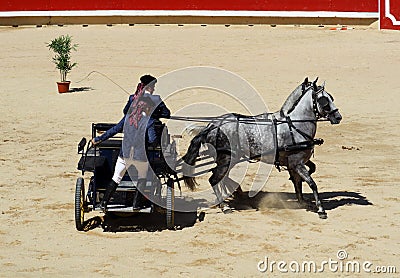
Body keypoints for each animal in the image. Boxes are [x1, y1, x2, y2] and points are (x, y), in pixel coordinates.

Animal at [181, 77, 340, 218]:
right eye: (324, 100)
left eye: (331, 97)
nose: (338, 117)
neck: (294, 125)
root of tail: (212, 125)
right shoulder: (297, 163)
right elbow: (311, 183)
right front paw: (321, 210)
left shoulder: (295, 163)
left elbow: (302, 178)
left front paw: (303, 201)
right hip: (227, 159)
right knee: (214, 179)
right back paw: (225, 206)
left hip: (229, 160)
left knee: (220, 177)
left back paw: (235, 194)